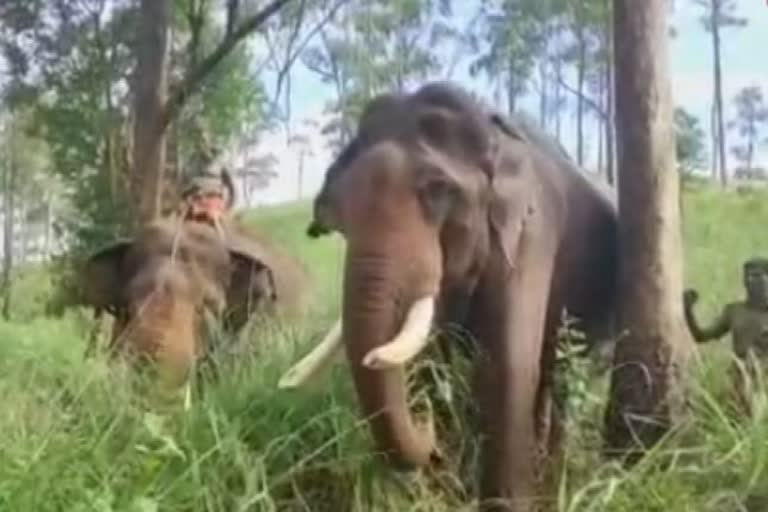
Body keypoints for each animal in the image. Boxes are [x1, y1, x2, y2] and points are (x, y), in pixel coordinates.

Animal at [280, 82, 618, 511]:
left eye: (438, 190)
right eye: (338, 211)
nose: (424, 424)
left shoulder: (532, 231)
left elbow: (507, 366)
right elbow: (427, 360)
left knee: (566, 377)